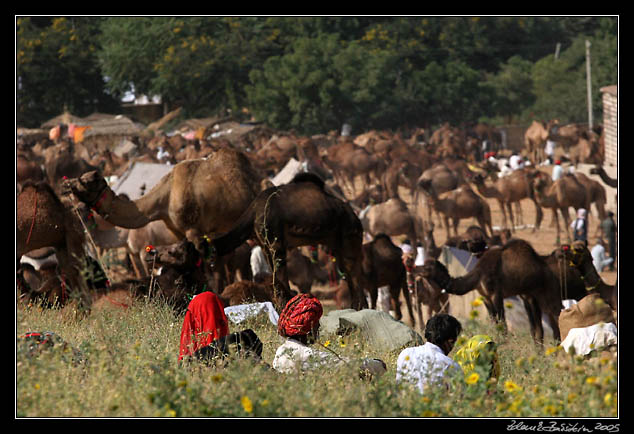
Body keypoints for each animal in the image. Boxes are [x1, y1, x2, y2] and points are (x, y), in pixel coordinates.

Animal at [207, 171, 366, 310]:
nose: (211, 267)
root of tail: (356, 218)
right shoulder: (264, 245)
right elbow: (275, 275)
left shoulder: (276, 243)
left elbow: (280, 275)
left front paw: (284, 305)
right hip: (338, 244)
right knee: (348, 271)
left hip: (350, 236)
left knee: (353, 270)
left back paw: (359, 307)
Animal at [420, 239, 564, 344]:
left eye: (427, 267)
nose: (416, 268)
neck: (479, 275)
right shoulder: (485, 297)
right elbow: (494, 323)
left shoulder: (496, 294)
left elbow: (503, 325)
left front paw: (505, 344)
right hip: (528, 295)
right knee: (539, 326)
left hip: (546, 292)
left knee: (554, 317)